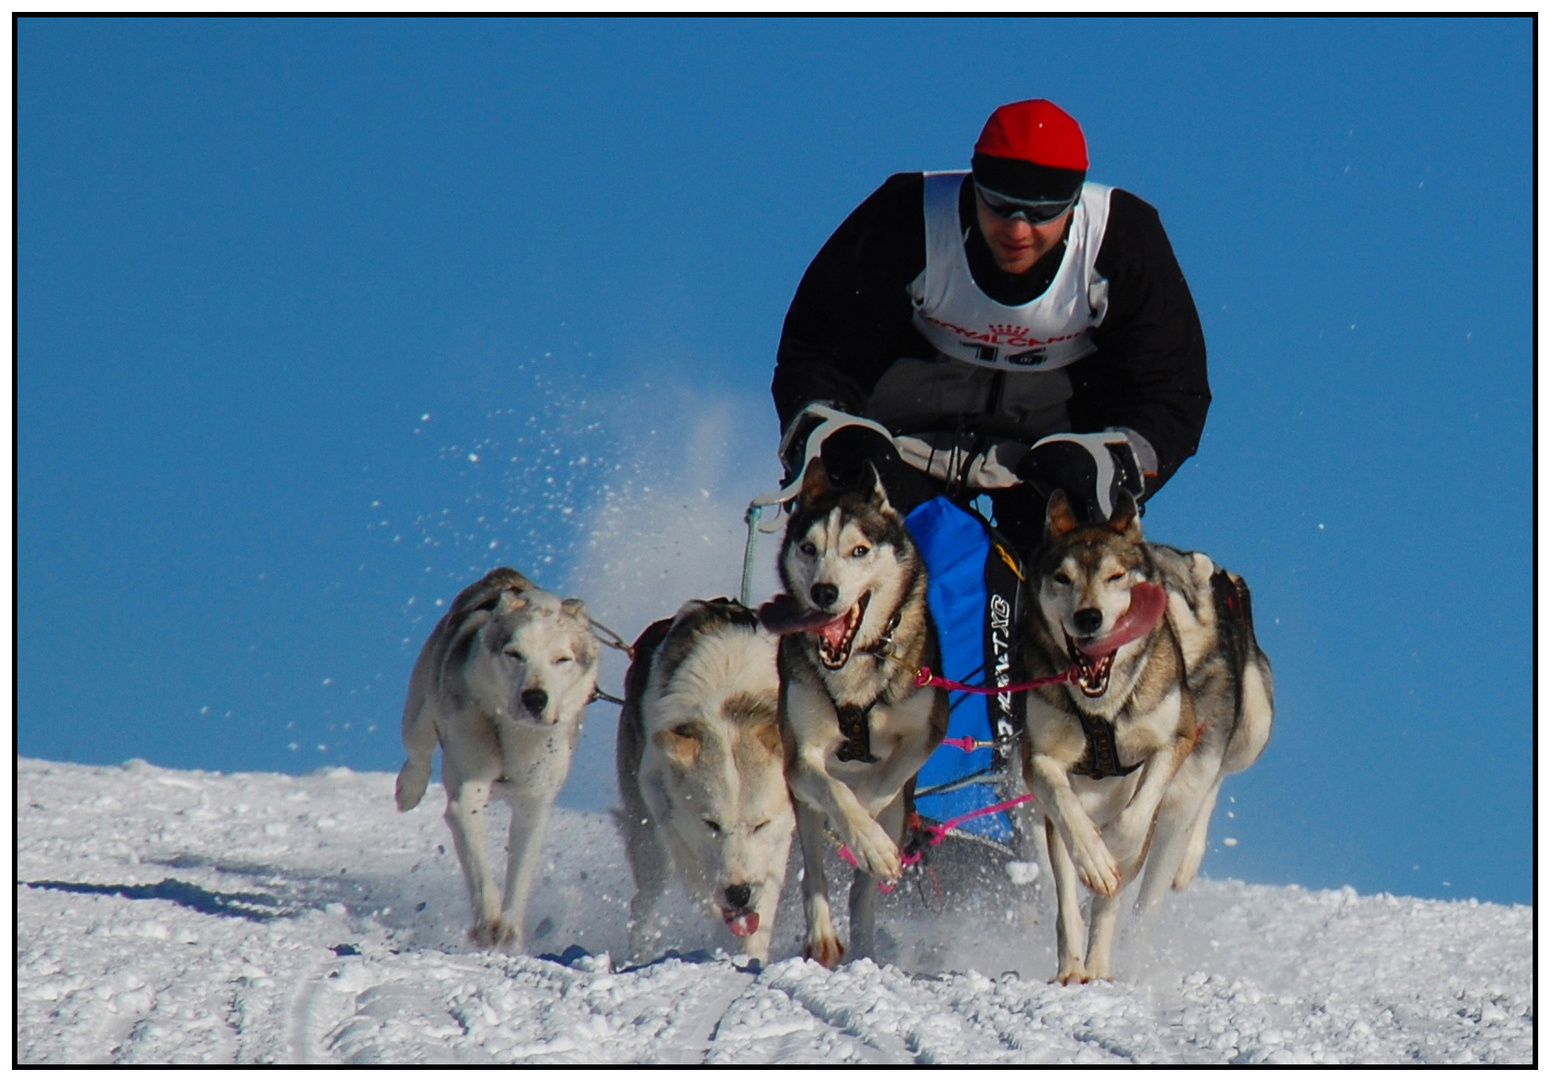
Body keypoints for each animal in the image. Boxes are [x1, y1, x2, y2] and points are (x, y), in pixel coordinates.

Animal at [393, 571, 598, 949]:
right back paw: (408, 788)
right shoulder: (467, 792)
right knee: (418, 751)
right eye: (513, 654)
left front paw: (509, 929)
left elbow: (521, 871)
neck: (512, 734)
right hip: (419, 714)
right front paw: (488, 922)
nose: (535, 698)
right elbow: (479, 867)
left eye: (562, 659)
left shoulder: (535, 805)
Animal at [614, 598, 794, 962]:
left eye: (761, 824)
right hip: (650, 849)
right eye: (711, 823)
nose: (739, 893)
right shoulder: (655, 786)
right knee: (644, 901)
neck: (730, 697)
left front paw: (751, 961)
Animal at [759, 459, 943, 968]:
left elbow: (882, 783)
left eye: (859, 550)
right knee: (815, 873)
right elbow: (836, 792)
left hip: (902, 812)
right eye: (809, 548)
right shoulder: (800, 759)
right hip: (801, 808)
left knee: (862, 894)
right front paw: (861, 832)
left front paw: (871, 834)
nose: (824, 591)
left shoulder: (928, 732)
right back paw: (822, 934)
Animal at [1017, 493, 1271, 980]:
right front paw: (1072, 966)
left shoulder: (1174, 744)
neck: (1104, 713)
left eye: (1117, 577)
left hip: (1250, 730)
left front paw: (1114, 851)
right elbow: (1067, 841)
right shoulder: (1039, 760)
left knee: (1204, 795)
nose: (1088, 617)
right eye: (1063, 578)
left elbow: (1134, 829)